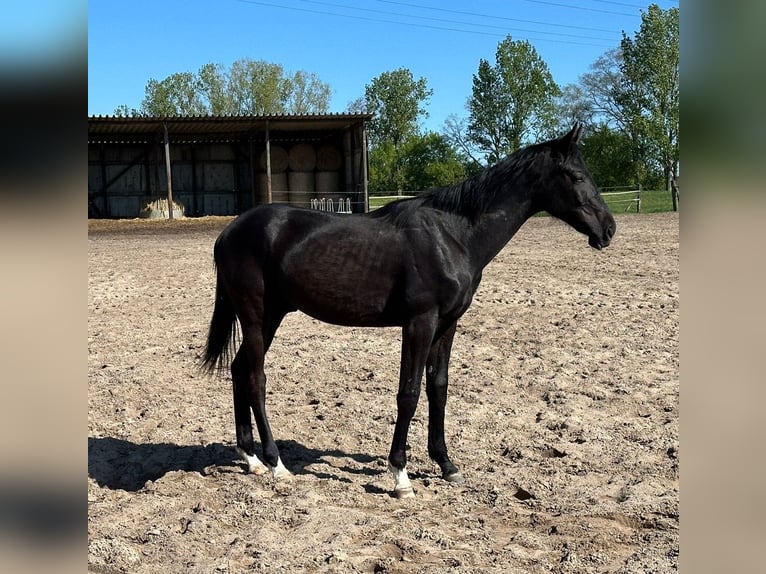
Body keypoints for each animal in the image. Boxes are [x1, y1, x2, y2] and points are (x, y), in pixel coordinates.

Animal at [204, 126, 616, 500]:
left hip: (271, 316)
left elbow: (438, 388)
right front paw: (400, 475)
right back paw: (276, 464)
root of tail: (228, 233)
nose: (608, 228)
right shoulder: (420, 322)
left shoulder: (447, 324)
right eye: (577, 176)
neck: (453, 236)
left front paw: (446, 464)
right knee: (255, 378)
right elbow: (410, 392)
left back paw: (251, 458)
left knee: (239, 370)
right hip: (256, 316)